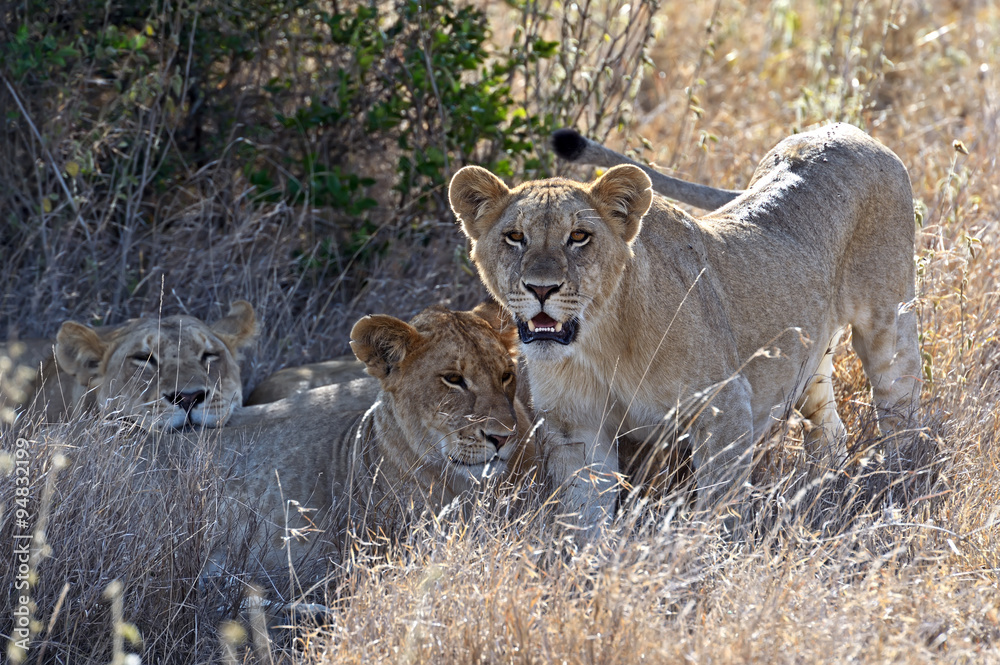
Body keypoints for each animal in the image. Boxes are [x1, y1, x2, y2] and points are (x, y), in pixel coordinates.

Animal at [449, 122, 921, 527]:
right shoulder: (575, 426)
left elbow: (719, 506)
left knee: (900, 408)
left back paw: (900, 484)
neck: (601, 341)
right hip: (808, 360)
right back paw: (824, 489)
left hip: (890, 322)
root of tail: (844, 128)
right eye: (515, 237)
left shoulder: (724, 403)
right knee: (829, 428)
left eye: (579, 237)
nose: (541, 288)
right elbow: (584, 516)